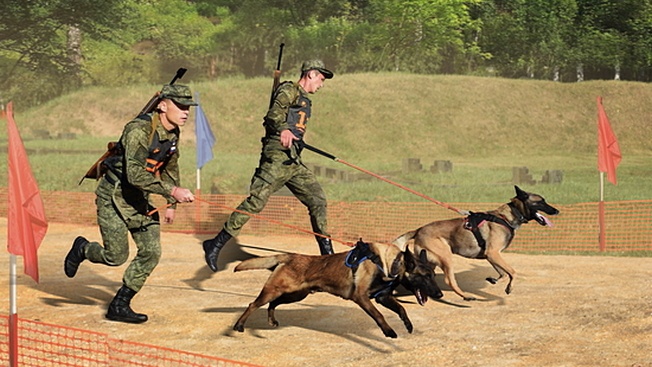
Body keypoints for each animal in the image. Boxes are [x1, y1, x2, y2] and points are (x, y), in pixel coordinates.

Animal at [230, 242, 444, 340]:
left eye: (433, 275)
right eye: (424, 276)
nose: (440, 294)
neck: (389, 262)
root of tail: (290, 256)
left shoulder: (382, 297)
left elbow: (401, 309)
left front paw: (407, 325)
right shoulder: (361, 298)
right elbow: (379, 316)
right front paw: (388, 331)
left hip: (295, 295)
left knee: (272, 304)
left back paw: (272, 320)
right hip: (275, 290)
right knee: (253, 304)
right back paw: (239, 325)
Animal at [390, 187, 556, 302]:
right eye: (541, 201)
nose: (557, 211)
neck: (506, 217)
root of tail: (418, 230)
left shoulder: (491, 256)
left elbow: (503, 273)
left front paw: (496, 280)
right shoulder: (493, 253)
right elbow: (513, 272)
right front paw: (509, 287)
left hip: (429, 261)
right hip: (446, 257)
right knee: (449, 280)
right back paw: (465, 296)